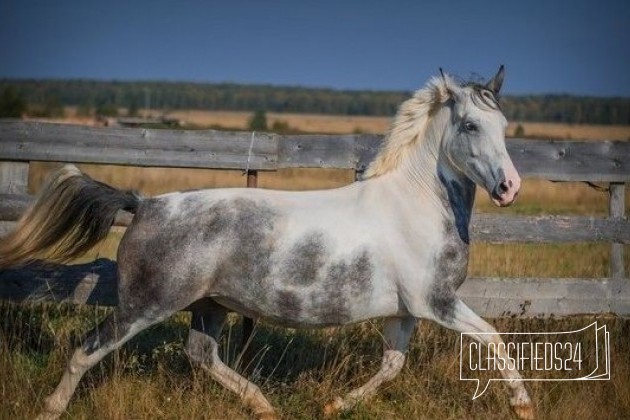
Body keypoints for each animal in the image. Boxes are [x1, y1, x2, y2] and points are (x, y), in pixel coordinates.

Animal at [0, 67, 532, 418]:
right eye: (470, 125)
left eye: (504, 126)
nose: (509, 188)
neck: (416, 204)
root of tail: (145, 204)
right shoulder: (436, 302)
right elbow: (493, 338)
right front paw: (523, 404)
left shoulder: (404, 311)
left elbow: (392, 366)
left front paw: (334, 404)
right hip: (145, 305)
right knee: (88, 350)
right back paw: (50, 409)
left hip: (209, 305)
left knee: (201, 355)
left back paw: (265, 405)